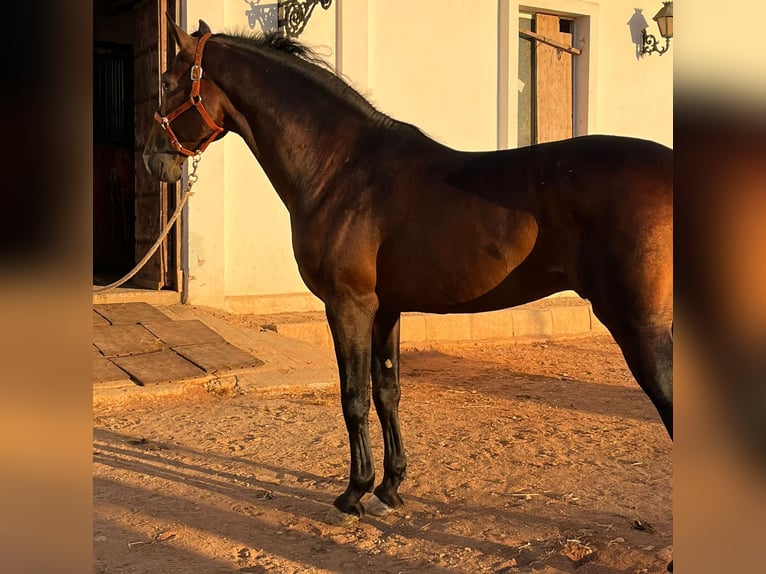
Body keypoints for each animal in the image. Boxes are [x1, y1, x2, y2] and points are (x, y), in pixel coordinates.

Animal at [142, 18, 672, 528]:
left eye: (167, 82)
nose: (153, 160)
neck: (341, 168)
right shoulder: (385, 309)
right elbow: (387, 392)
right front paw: (389, 488)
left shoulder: (348, 305)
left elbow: (354, 396)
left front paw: (352, 495)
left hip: (639, 326)